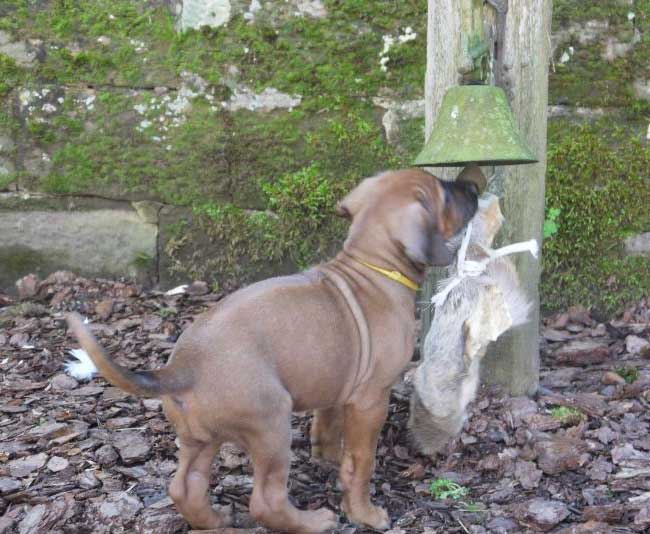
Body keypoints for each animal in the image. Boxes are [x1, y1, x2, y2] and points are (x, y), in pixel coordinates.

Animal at [64, 170, 476, 532]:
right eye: (445, 193)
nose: (473, 186)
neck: (372, 265)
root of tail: (180, 369)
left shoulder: (337, 380)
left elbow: (328, 424)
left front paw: (327, 459)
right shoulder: (370, 399)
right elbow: (361, 463)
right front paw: (364, 513)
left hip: (200, 437)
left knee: (185, 487)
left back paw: (215, 521)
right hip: (271, 425)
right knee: (266, 501)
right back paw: (314, 523)